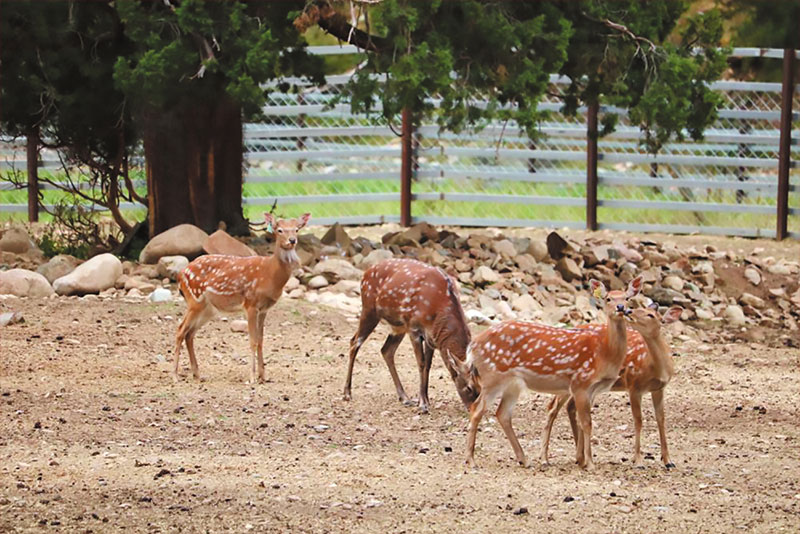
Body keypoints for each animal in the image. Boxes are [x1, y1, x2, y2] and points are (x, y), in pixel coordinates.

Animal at [173, 213, 310, 386]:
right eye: (279, 230)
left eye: (297, 229)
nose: (292, 240)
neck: (270, 274)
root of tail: (180, 275)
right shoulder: (250, 303)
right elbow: (252, 340)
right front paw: (252, 377)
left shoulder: (264, 309)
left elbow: (261, 340)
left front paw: (263, 376)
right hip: (194, 299)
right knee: (180, 330)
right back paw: (175, 375)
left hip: (208, 309)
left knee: (189, 333)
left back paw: (197, 374)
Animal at [342, 260, 478, 414]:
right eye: (469, 387)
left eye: (480, 387)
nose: (473, 409)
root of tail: (365, 273)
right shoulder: (414, 328)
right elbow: (421, 363)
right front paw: (423, 404)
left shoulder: (431, 338)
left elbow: (428, 366)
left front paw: (425, 400)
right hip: (369, 309)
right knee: (354, 342)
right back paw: (347, 393)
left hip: (398, 326)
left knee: (386, 350)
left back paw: (404, 397)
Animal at [456, 278, 644, 472]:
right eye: (608, 298)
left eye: (627, 298)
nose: (620, 307)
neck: (604, 353)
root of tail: (472, 347)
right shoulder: (580, 382)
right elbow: (586, 423)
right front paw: (590, 464)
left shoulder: (592, 389)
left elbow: (583, 422)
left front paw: (584, 460)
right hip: (492, 377)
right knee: (477, 409)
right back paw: (471, 460)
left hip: (512, 383)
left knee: (502, 413)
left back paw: (524, 459)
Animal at [536, 304, 680, 472]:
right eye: (638, 308)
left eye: (650, 314)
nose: (628, 311)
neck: (656, 367)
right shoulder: (634, 385)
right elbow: (638, 420)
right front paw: (638, 461)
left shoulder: (659, 388)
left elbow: (661, 419)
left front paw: (668, 461)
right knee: (553, 407)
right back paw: (545, 458)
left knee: (570, 408)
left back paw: (580, 456)